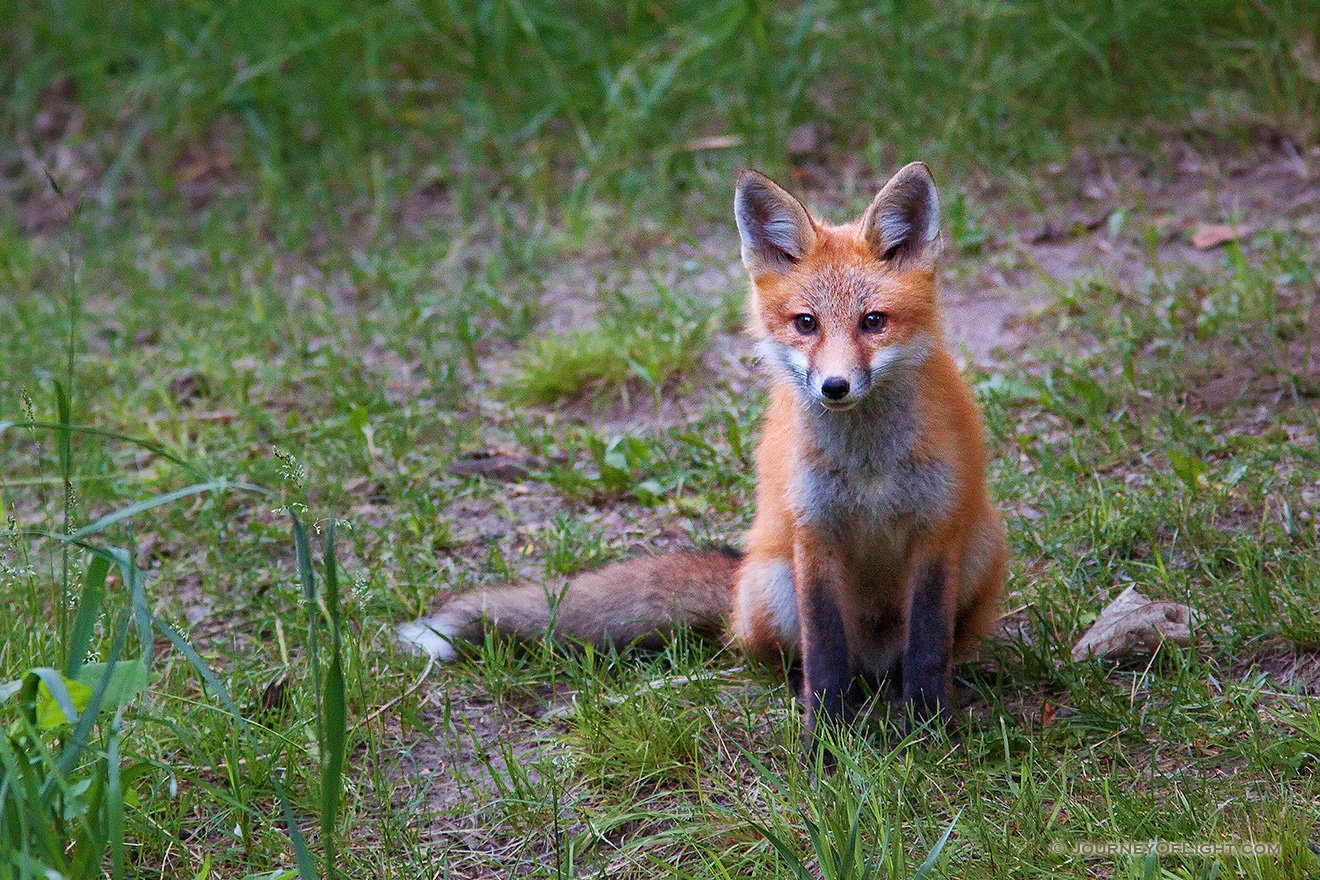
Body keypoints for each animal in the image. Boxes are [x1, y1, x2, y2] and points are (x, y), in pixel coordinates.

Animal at [396, 161, 1003, 738]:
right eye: (806, 323)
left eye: (873, 321)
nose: (835, 388)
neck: (869, 465)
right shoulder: (814, 534)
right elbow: (825, 658)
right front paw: (826, 745)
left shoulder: (936, 531)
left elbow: (927, 654)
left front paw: (932, 733)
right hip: (775, 585)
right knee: (799, 660)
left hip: (980, 546)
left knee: (912, 658)